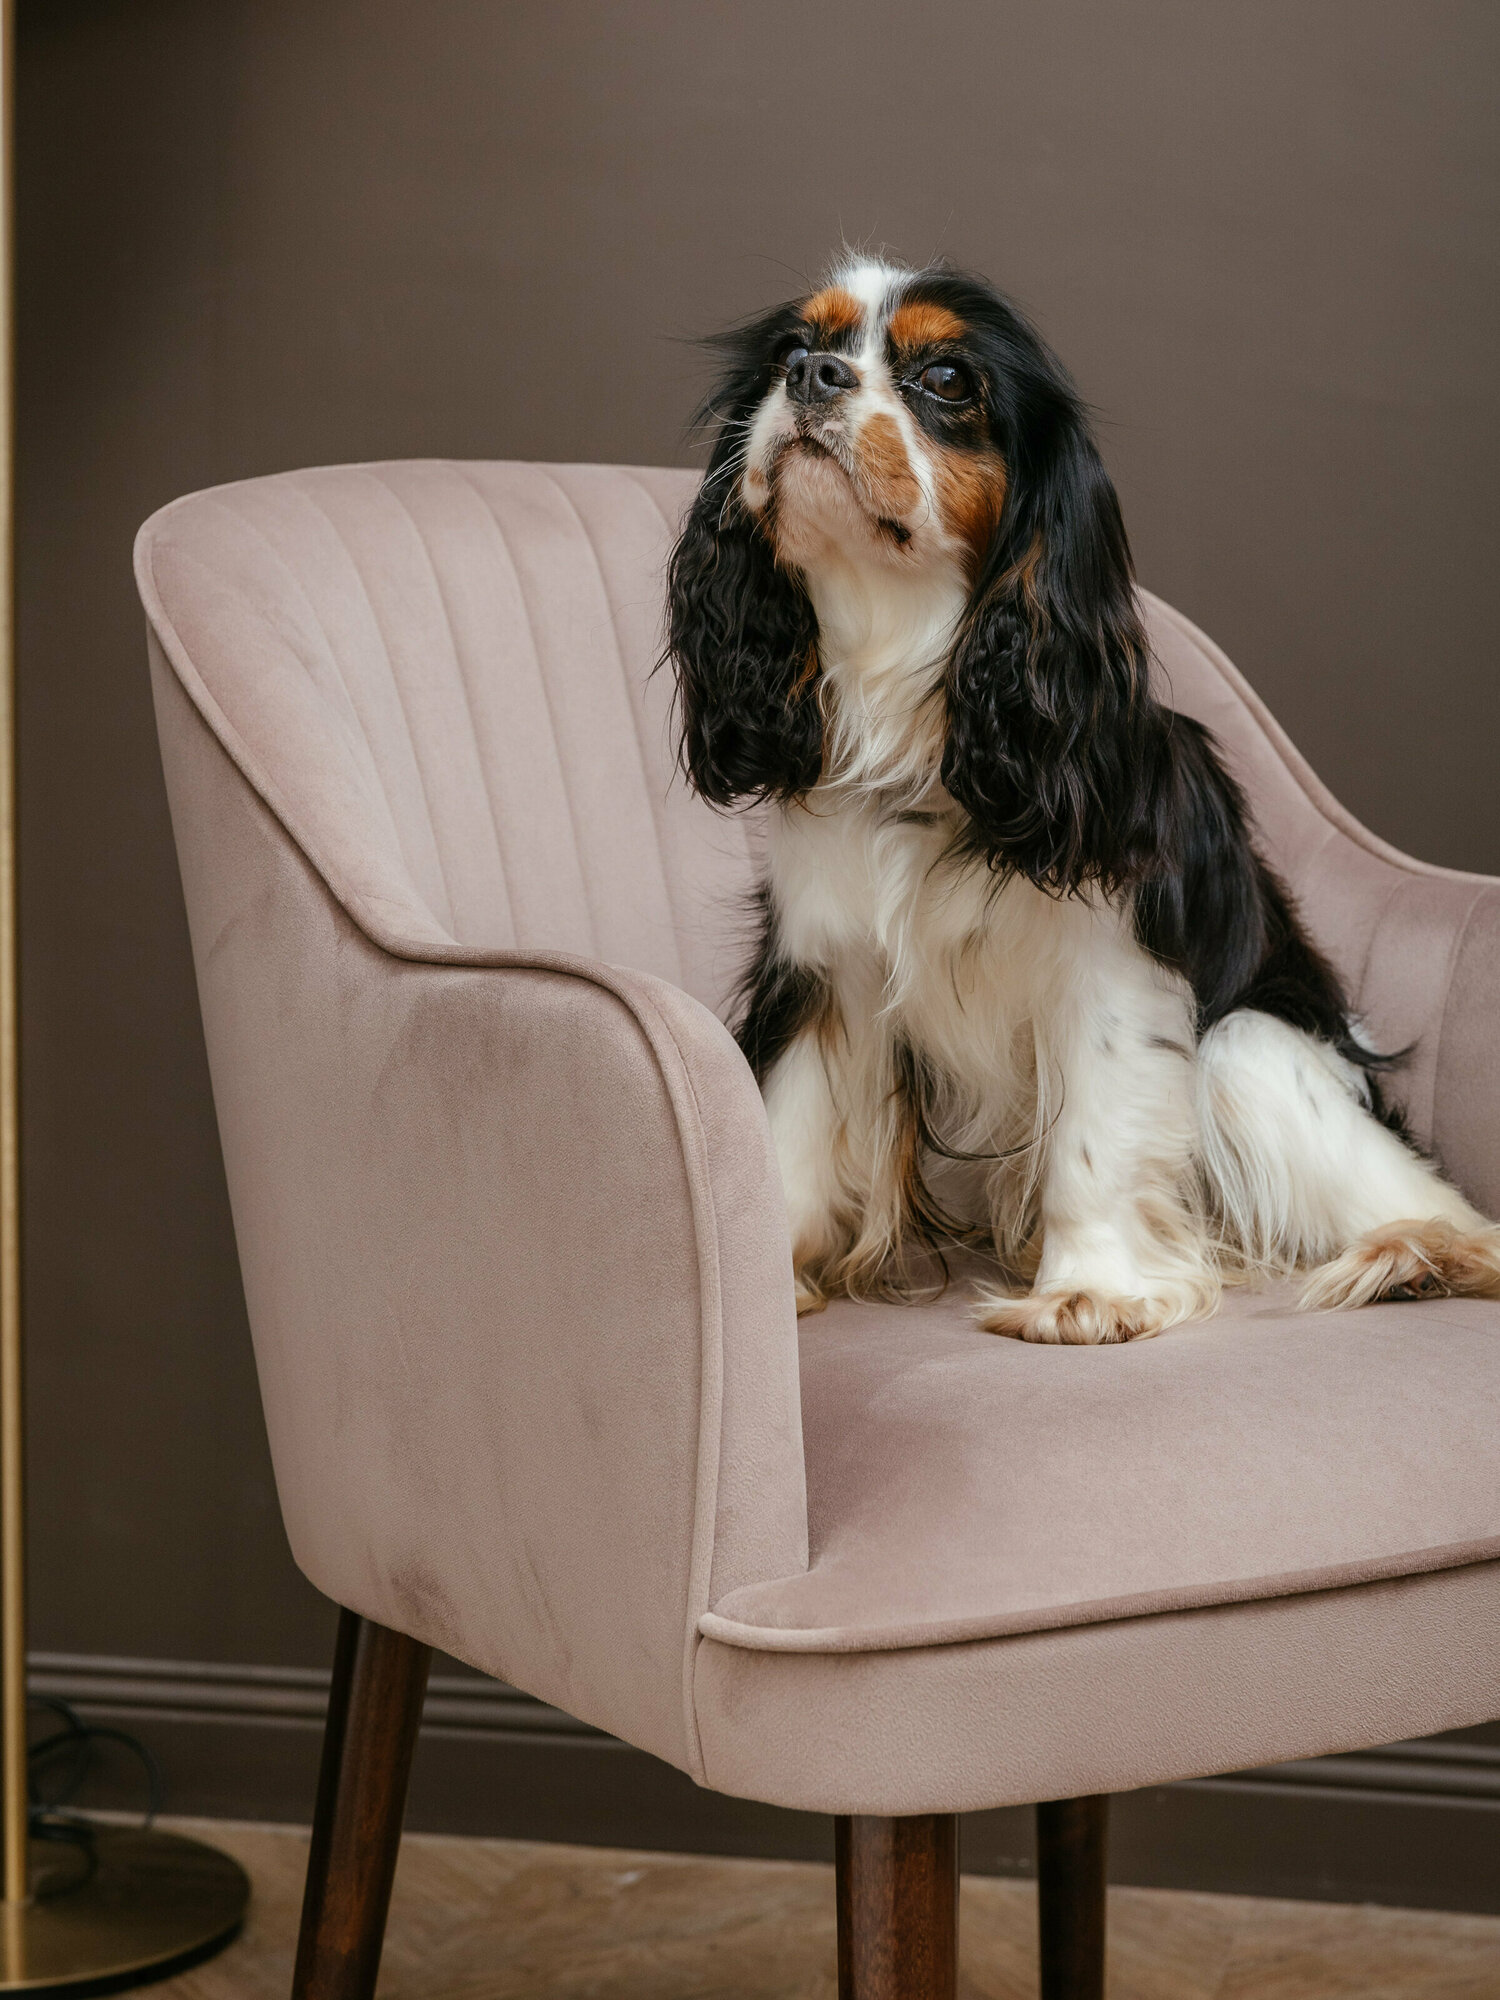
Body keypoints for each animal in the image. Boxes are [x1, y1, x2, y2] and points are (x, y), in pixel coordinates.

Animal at [664, 255, 1500, 1342]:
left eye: (946, 380)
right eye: (792, 348)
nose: (813, 376)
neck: (915, 701)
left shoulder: (1111, 969)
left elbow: (1093, 1142)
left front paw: (1092, 1290)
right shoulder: (825, 966)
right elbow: (791, 1127)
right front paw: (774, 1278)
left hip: (1253, 1047)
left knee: (1448, 1210)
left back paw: (1413, 1258)